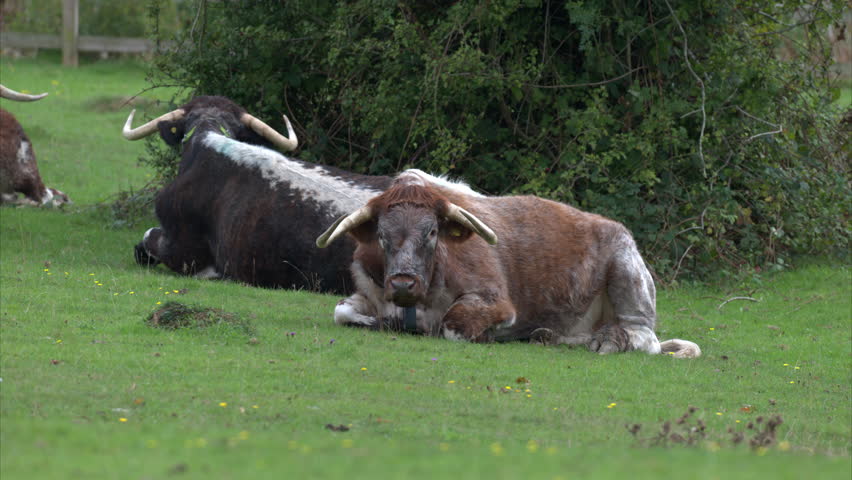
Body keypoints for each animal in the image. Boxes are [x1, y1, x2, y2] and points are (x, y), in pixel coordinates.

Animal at [316, 171, 701, 358]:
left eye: (432, 232)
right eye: (381, 235)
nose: (402, 282)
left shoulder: (495, 301)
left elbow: (454, 326)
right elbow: (341, 312)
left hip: (627, 272)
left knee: (646, 337)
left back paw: (609, 341)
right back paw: (553, 336)